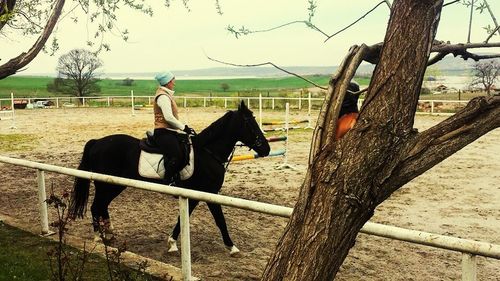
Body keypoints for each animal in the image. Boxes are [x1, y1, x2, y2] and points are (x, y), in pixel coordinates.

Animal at [68, 100, 270, 254]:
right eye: (250, 123)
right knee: (96, 206)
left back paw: (109, 232)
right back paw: (98, 237)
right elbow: (220, 220)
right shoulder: (209, 193)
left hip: (115, 185)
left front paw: (172, 243)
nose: (266, 149)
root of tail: (97, 142)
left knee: (102, 206)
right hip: (106, 184)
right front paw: (232, 247)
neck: (208, 152)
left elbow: (183, 219)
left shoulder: (194, 195)